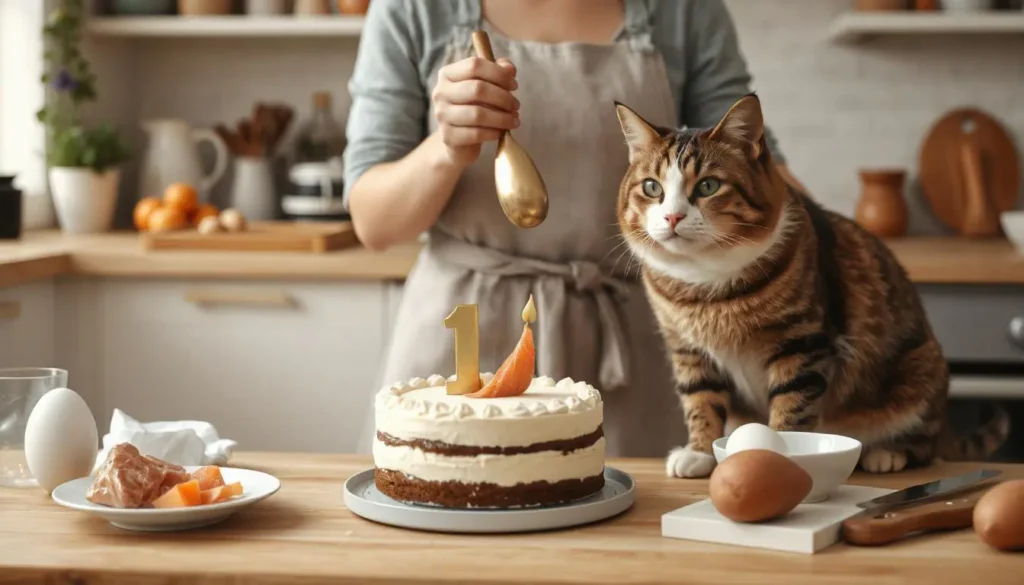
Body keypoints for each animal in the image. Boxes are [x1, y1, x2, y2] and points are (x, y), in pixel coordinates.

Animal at [614, 94, 1007, 475]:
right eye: (652, 187)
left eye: (708, 186)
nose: (672, 216)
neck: (704, 284)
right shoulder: (688, 349)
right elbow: (701, 399)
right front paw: (698, 452)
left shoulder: (801, 343)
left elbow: (792, 405)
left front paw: (778, 456)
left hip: (920, 372)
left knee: (925, 444)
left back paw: (887, 453)